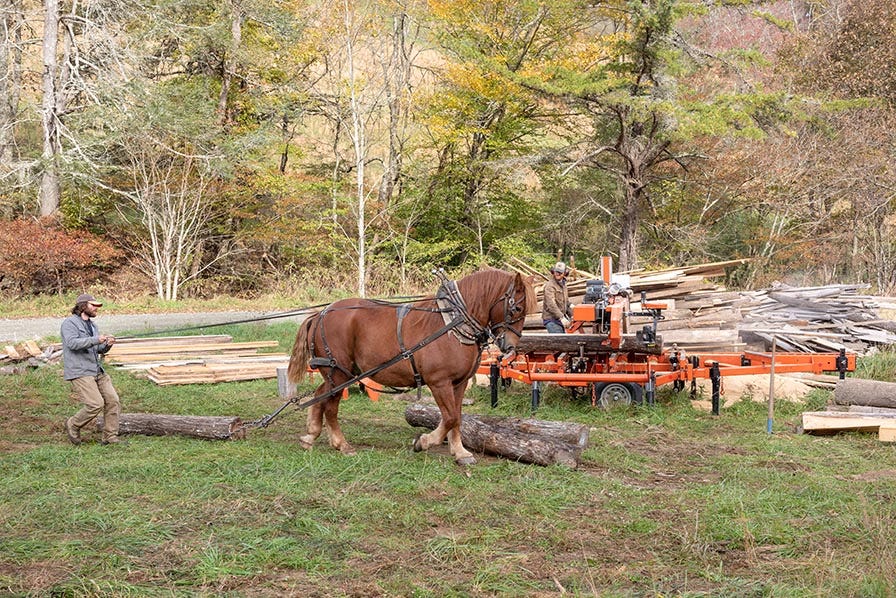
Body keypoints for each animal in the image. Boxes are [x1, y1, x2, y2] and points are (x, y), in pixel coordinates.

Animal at [288, 270, 536, 466]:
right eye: (517, 308)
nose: (510, 347)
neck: (452, 325)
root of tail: (320, 314)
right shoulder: (439, 382)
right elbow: (449, 418)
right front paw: (423, 442)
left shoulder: (459, 383)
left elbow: (457, 417)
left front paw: (460, 452)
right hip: (339, 373)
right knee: (330, 405)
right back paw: (341, 444)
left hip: (339, 373)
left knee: (320, 395)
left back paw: (311, 435)